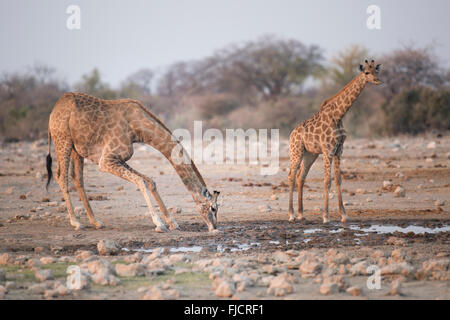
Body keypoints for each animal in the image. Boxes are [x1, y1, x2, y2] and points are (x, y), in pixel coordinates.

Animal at [46, 92, 220, 232]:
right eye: (213, 208)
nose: (214, 228)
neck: (137, 127)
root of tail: (53, 112)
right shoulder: (106, 160)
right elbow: (141, 181)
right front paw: (159, 224)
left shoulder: (119, 159)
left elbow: (150, 181)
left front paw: (173, 223)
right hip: (63, 140)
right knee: (61, 177)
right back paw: (76, 222)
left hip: (77, 150)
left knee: (77, 179)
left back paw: (96, 222)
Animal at [288, 59, 380, 222]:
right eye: (366, 72)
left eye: (376, 70)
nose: (377, 80)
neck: (338, 115)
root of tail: (292, 134)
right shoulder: (328, 150)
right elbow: (327, 181)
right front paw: (326, 216)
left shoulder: (339, 150)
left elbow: (338, 179)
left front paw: (344, 215)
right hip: (296, 151)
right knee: (291, 176)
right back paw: (291, 214)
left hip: (310, 154)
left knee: (301, 176)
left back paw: (301, 214)